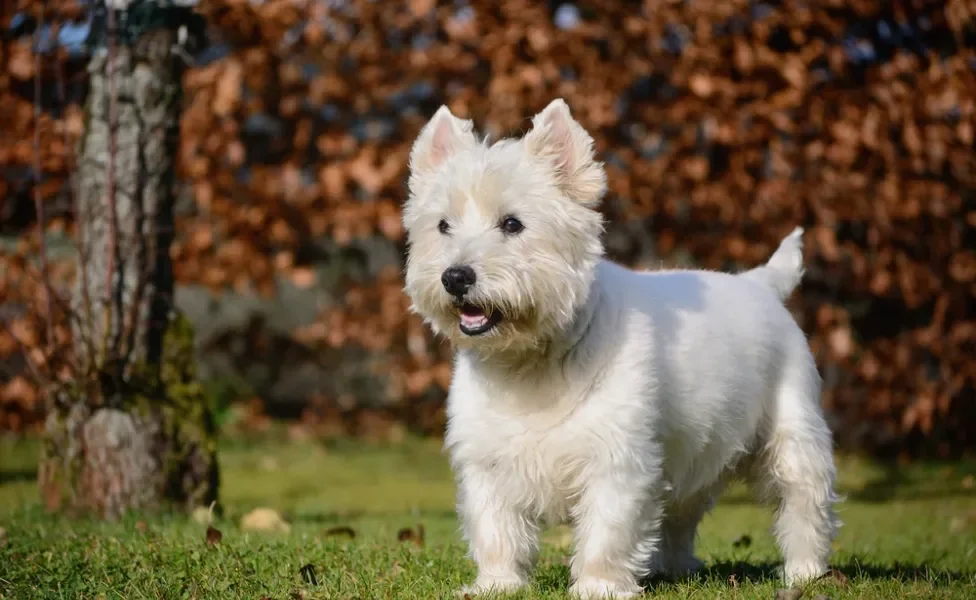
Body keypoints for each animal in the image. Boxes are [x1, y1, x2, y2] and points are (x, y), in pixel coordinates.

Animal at [402, 99, 840, 600]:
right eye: (443, 226)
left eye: (512, 224)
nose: (455, 277)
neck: (530, 362)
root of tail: (761, 283)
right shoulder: (486, 460)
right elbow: (495, 528)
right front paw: (496, 585)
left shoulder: (618, 457)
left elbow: (607, 529)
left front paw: (599, 586)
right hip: (695, 450)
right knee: (682, 512)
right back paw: (676, 567)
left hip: (792, 428)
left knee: (803, 501)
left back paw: (803, 573)